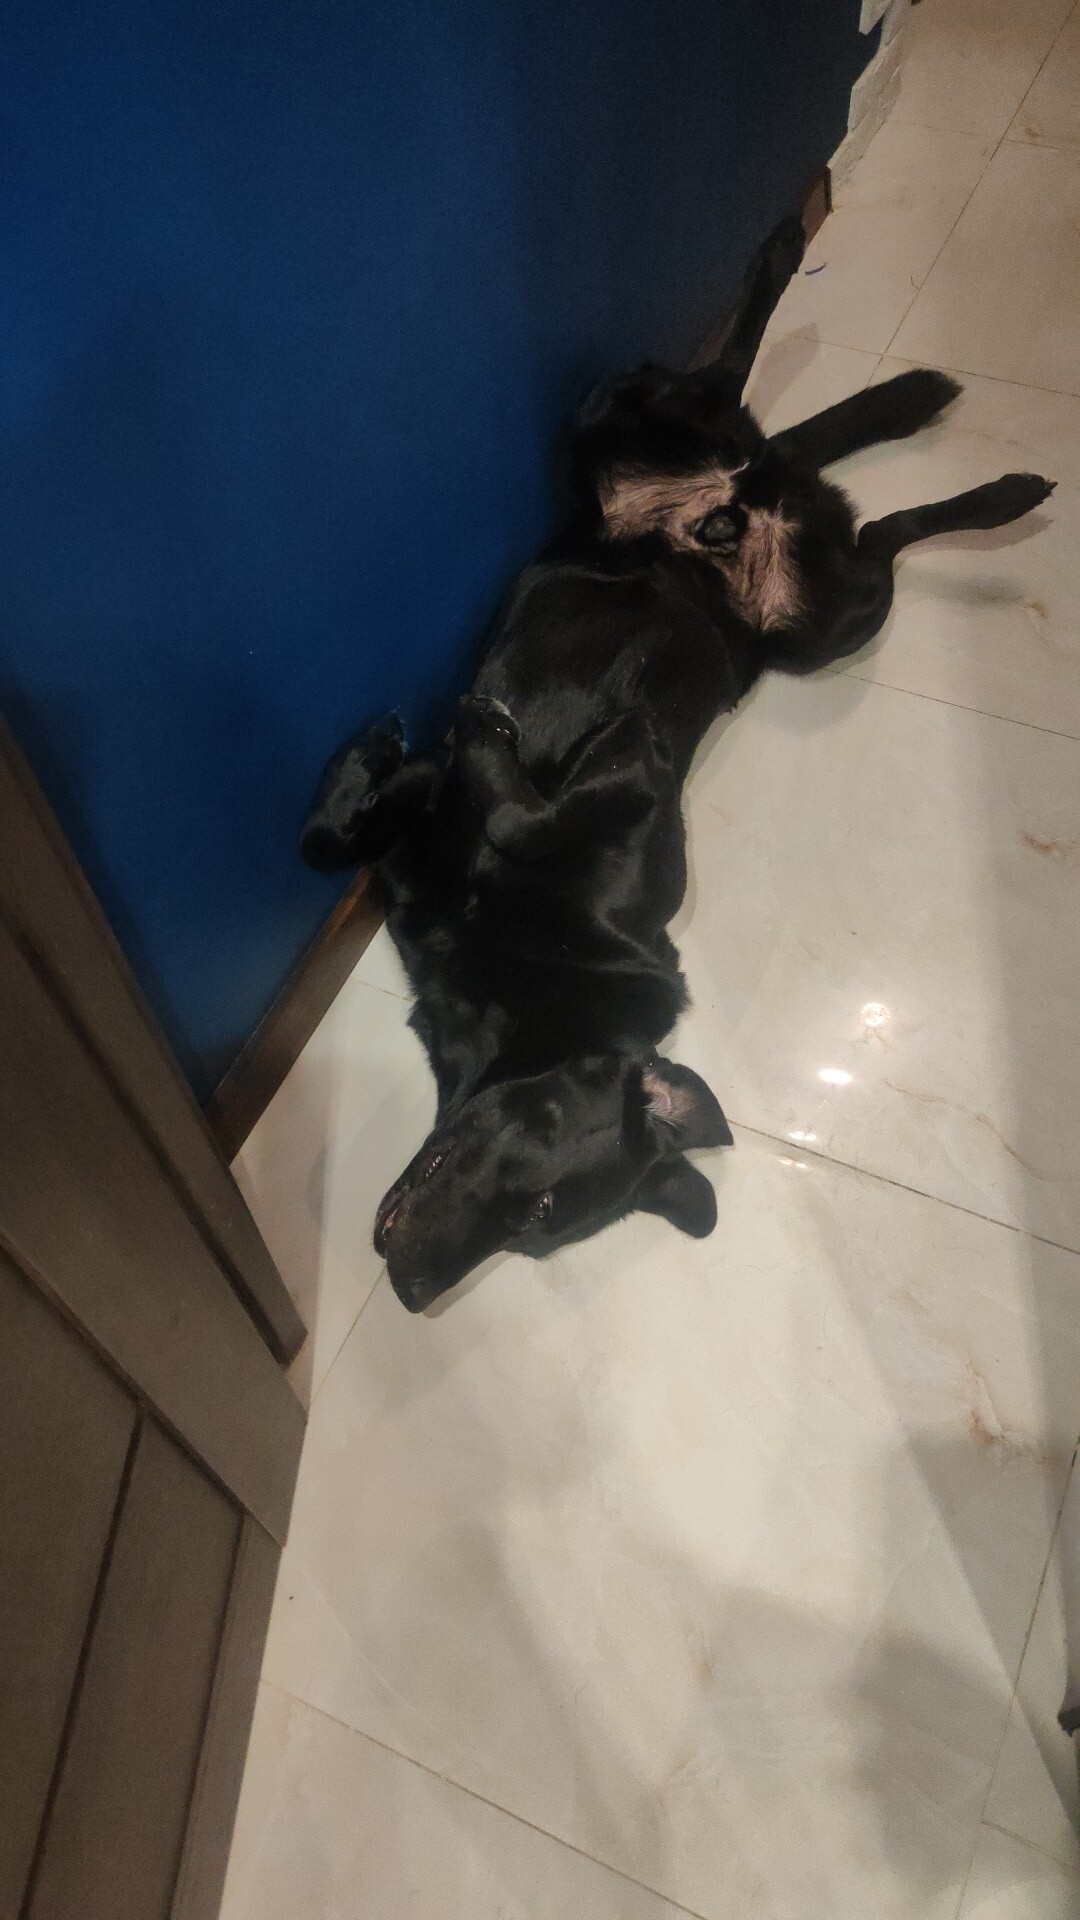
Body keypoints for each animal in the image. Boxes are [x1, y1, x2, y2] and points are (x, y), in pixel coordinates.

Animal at [302, 214, 1054, 1312]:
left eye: (537, 1225)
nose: (411, 1288)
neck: (509, 990)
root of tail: (747, 509)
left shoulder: (639, 782)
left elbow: (527, 799)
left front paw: (510, 741)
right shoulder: (426, 818)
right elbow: (334, 839)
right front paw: (364, 757)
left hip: (830, 624)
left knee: (887, 531)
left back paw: (1001, 489)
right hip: (616, 418)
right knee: (740, 389)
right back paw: (801, 281)